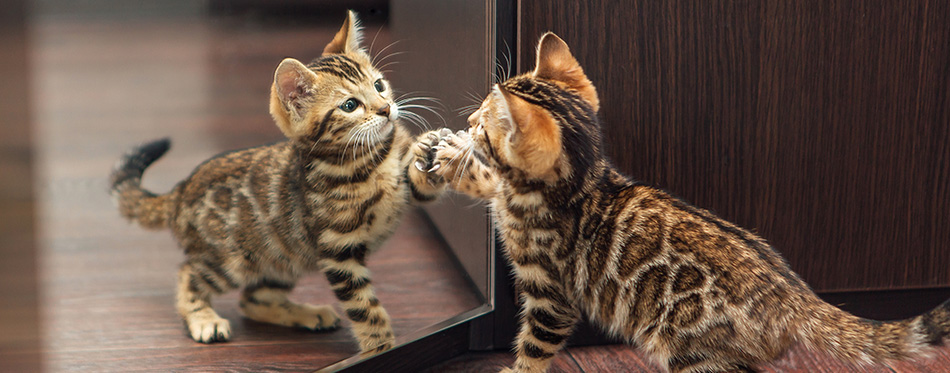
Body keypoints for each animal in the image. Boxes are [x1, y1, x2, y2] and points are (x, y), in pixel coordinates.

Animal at [109, 10, 452, 348]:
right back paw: (204, 319)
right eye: (350, 105)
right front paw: (380, 346)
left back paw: (308, 315)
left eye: (379, 85)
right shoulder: (339, 250)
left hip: (283, 257)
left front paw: (430, 150)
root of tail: (180, 190)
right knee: (189, 274)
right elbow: (365, 309)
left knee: (252, 299)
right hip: (233, 260)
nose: (386, 108)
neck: (370, 160)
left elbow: (420, 181)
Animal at [430, 32, 950, 372]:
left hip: (693, 351)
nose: (471, 119)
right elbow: (489, 182)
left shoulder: (550, 297)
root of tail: (795, 295)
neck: (580, 183)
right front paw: (451, 157)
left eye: (485, 122)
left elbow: (534, 350)